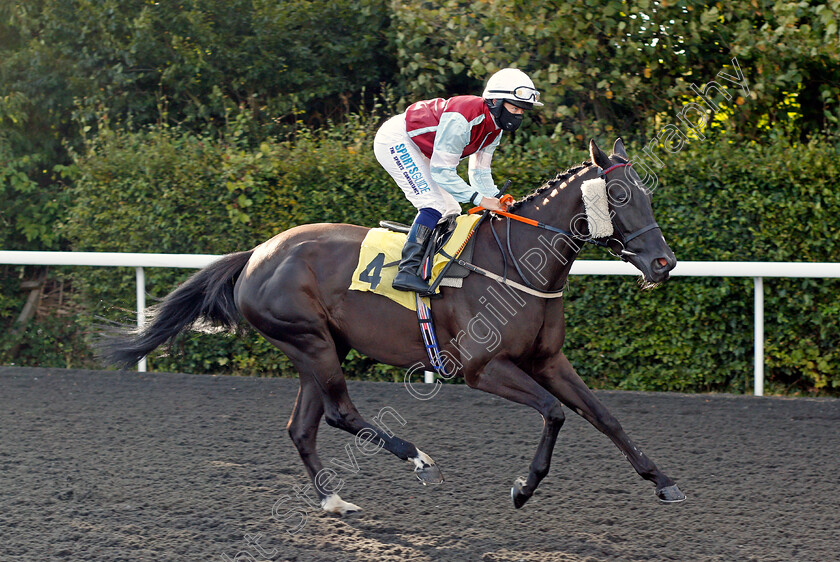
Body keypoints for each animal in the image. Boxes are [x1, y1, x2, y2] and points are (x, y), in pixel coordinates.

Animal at [103, 137, 688, 512]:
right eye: (622, 196)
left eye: (648, 193)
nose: (664, 263)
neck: (518, 260)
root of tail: (257, 254)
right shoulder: (483, 368)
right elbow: (555, 413)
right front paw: (524, 487)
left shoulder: (548, 360)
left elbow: (603, 416)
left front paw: (663, 481)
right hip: (310, 341)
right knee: (339, 413)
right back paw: (419, 460)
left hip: (318, 347)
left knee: (302, 426)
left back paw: (333, 500)